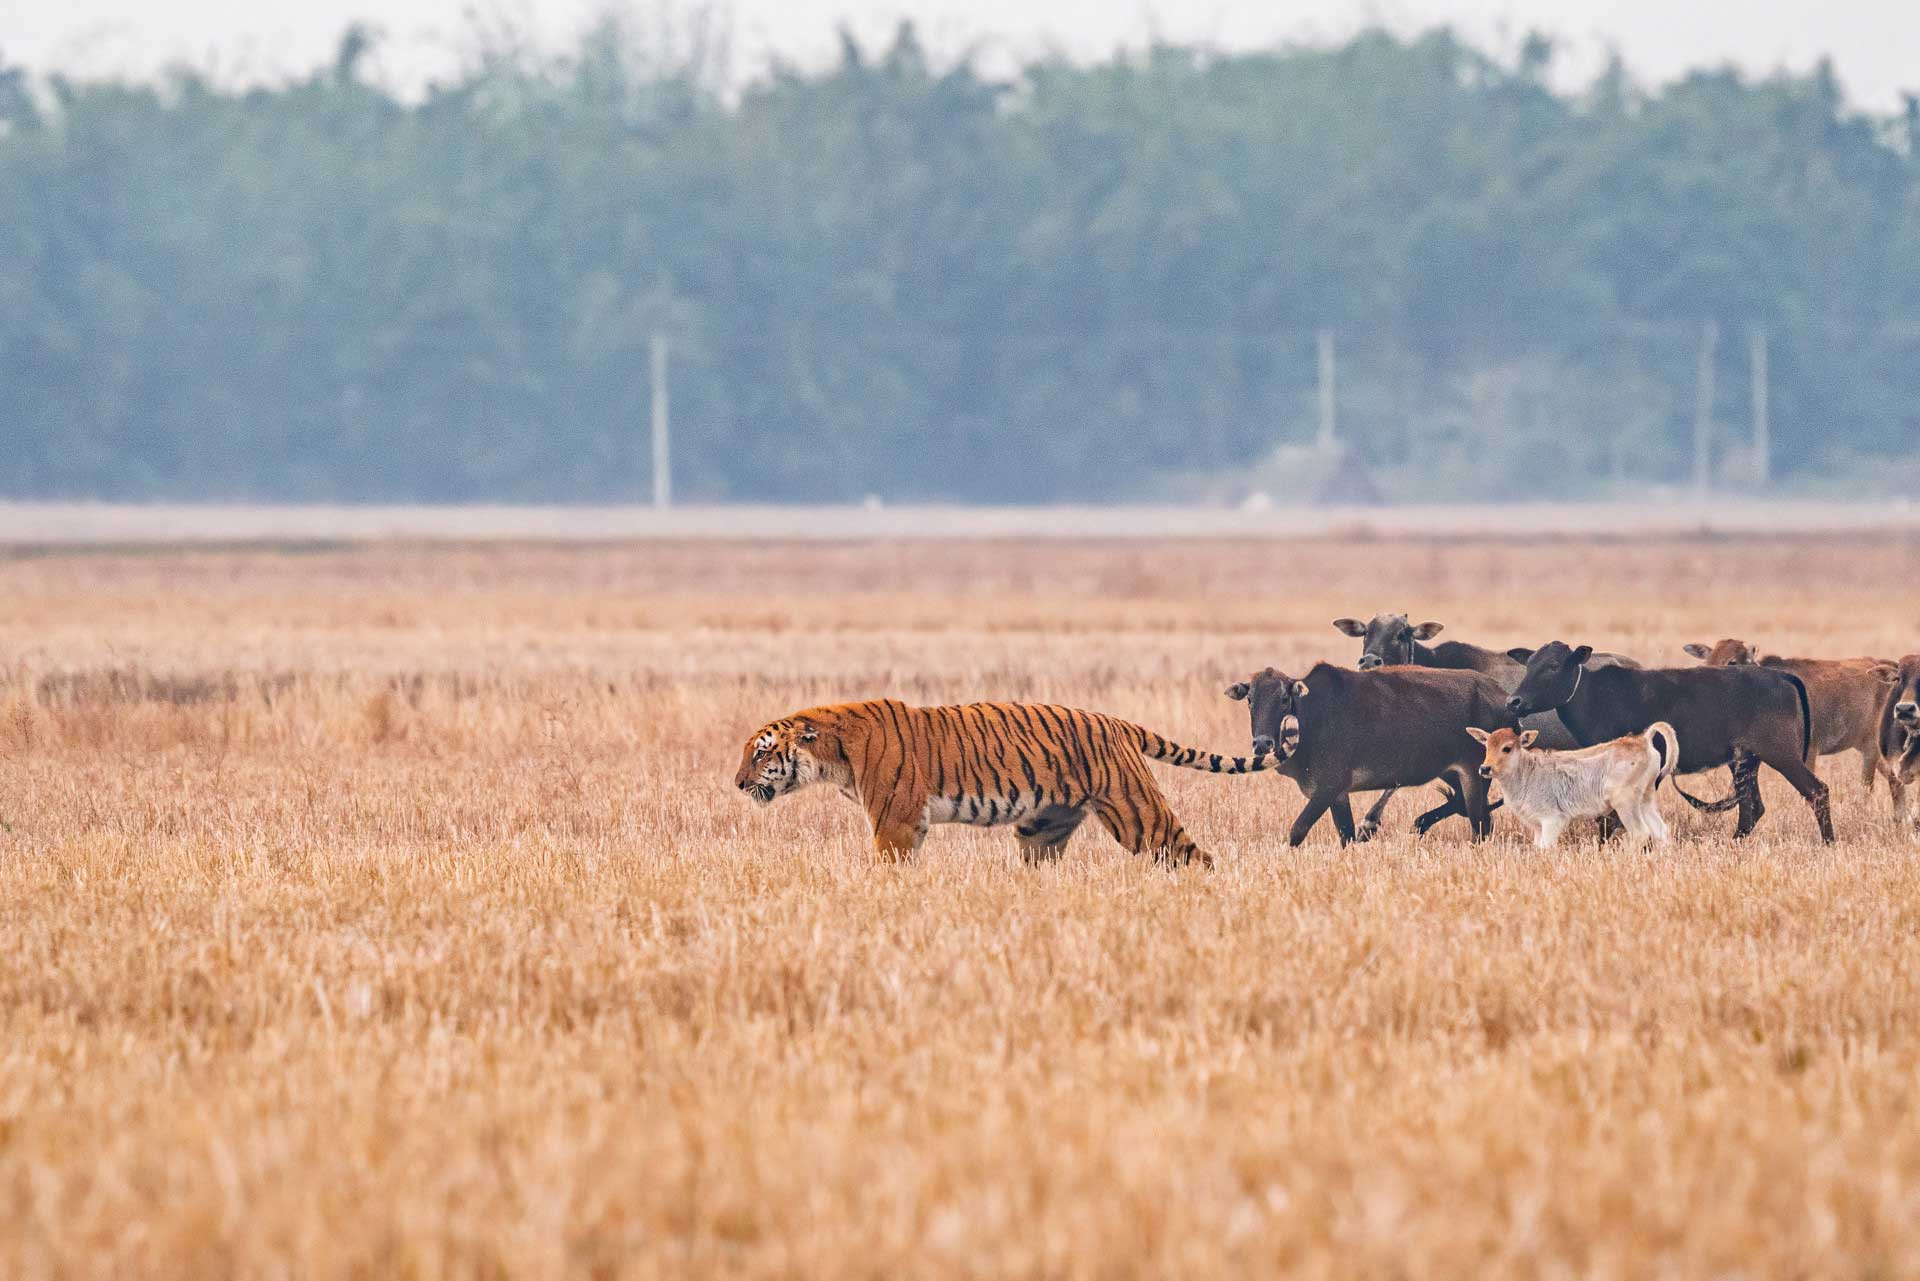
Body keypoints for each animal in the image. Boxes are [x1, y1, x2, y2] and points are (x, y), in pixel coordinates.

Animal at [732, 698, 1297, 866]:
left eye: (760, 753)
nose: (736, 784)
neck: (833, 755)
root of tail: (1117, 721)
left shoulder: (895, 821)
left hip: (1139, 816)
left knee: (1194, 856)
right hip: (1041, 828)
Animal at [1226, 663, 1515, 846]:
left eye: (1284, 699)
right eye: (1250, 700)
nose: (1262, 743)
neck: (1311, 718)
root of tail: (1504, 697)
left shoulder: (1329, 787)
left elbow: (1298, 831)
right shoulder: (1338, 795)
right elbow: (1346, 835)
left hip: (1474, 773)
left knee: (1480, 823)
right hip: (1451, 772)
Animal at [1467, 723, 1678, 848]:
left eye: (1507, 748)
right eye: (1486, 746)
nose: (1485, 768)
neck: (1526, 772)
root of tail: (1643, 740)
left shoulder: (1552, 820)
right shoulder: (1537, 825)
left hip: (1626, 803)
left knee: (1640, 833)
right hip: (1645, 800)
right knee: (1661, 831)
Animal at [1506, 641, 1833, 842]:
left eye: (1553, 666)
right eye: (1529, 664)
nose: (1514, 701)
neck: (1595, 694)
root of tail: (1781, 677)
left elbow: (1613, 817)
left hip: (1781, 753)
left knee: (1816, 791)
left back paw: (1828, 843)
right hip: (1745, 760)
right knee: (1751, 807)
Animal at [1682, 637, 1901, 813]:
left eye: (1732, 661)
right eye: (1707, 661)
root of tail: (1891, 668)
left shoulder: (1809, 751)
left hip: (1871, 746)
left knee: (1868, 787)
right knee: (1894, 779)